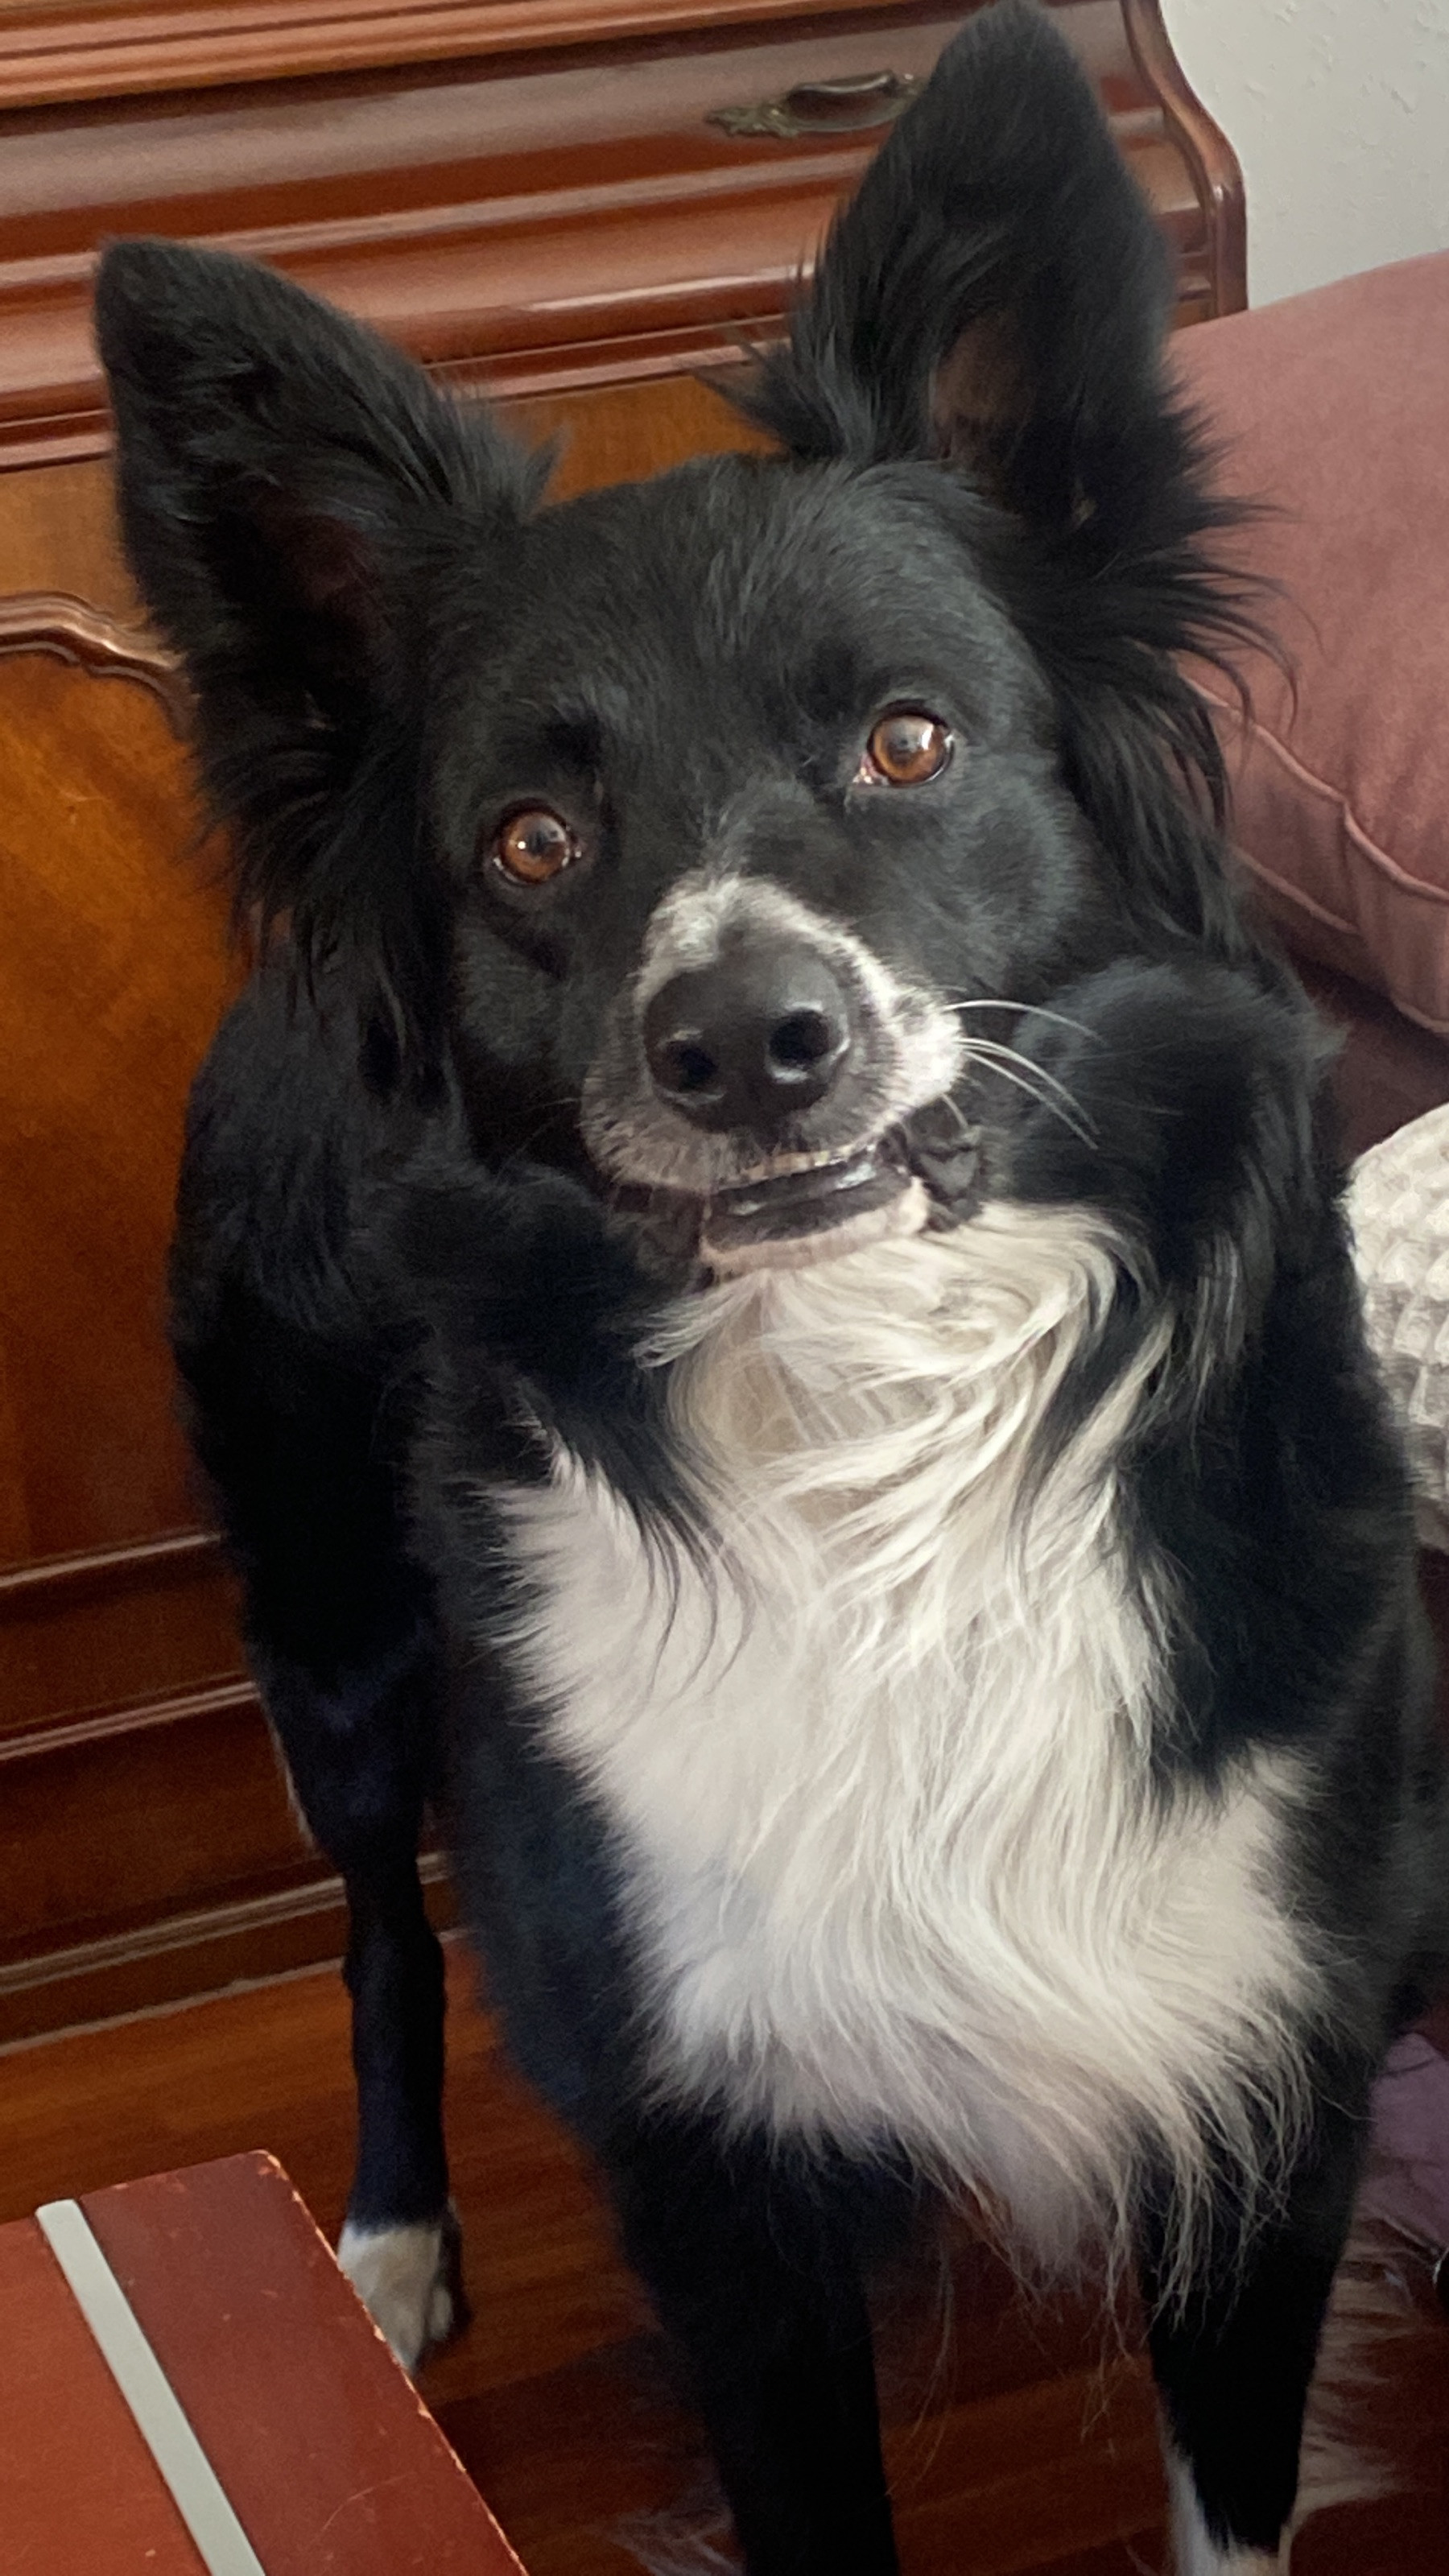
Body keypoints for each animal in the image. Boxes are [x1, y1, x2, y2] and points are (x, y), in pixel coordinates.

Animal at [94, 6, 1448, 2569]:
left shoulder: (1270, 2067)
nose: (746, 1042)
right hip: (324, 1621)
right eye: (534, 844)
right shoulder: (719, 2174)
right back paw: (385, 2243)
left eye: (907, 738)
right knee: (381, 1924)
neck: (874, 1428)